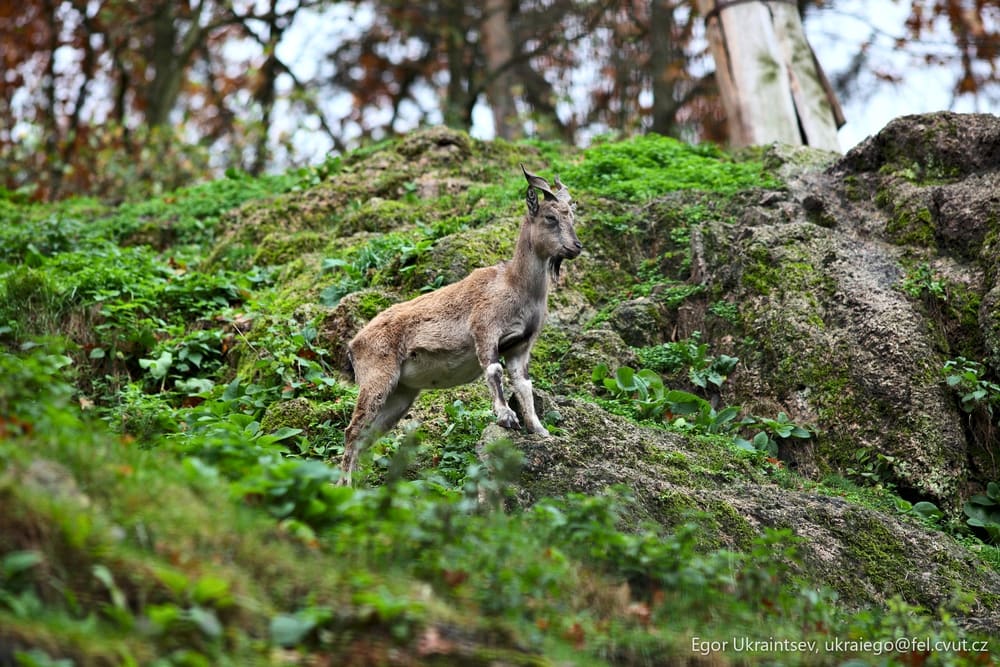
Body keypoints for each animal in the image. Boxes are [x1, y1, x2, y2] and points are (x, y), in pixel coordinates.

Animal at [338, 165, 582, 484]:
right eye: (550, 217)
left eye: (572, 216)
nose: (576, 246)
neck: (516, 285)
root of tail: (354, 345)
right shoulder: (485, 330)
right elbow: (493, 371)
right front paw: (506, 417)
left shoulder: (520, 346)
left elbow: (523, 384)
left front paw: (539, 429)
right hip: (377, 379)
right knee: (352, 432)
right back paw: (344, 486)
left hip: (401, 394)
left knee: (366, 437)